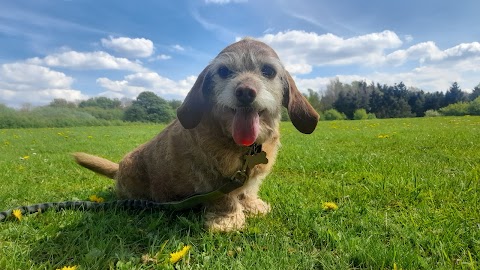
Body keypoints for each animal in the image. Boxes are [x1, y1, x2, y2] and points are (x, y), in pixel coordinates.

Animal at [74, 38, 318, 232]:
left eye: (268, 71)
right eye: (224, 71)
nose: (245, 92)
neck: (242, 147)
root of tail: (117, 170)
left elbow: (248, 190)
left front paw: (252, 206)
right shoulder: (211, 176)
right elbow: (225, 199)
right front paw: (227, 220)